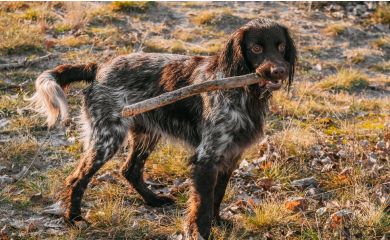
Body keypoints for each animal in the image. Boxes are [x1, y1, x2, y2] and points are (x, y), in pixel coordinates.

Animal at [29, 17, 296, 239]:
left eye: (281, 46)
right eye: (256, 48)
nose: (279, 70)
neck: (244, 93)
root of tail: (98, 68)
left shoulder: (231, 155)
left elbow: (217, 196)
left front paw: (219, 223)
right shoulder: (206, 157)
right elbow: (202, 204)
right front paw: (201, 232)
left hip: (147, 133)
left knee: (130, 170)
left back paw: (153, 200)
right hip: (108, 138)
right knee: (77, 178)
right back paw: (73, 218)